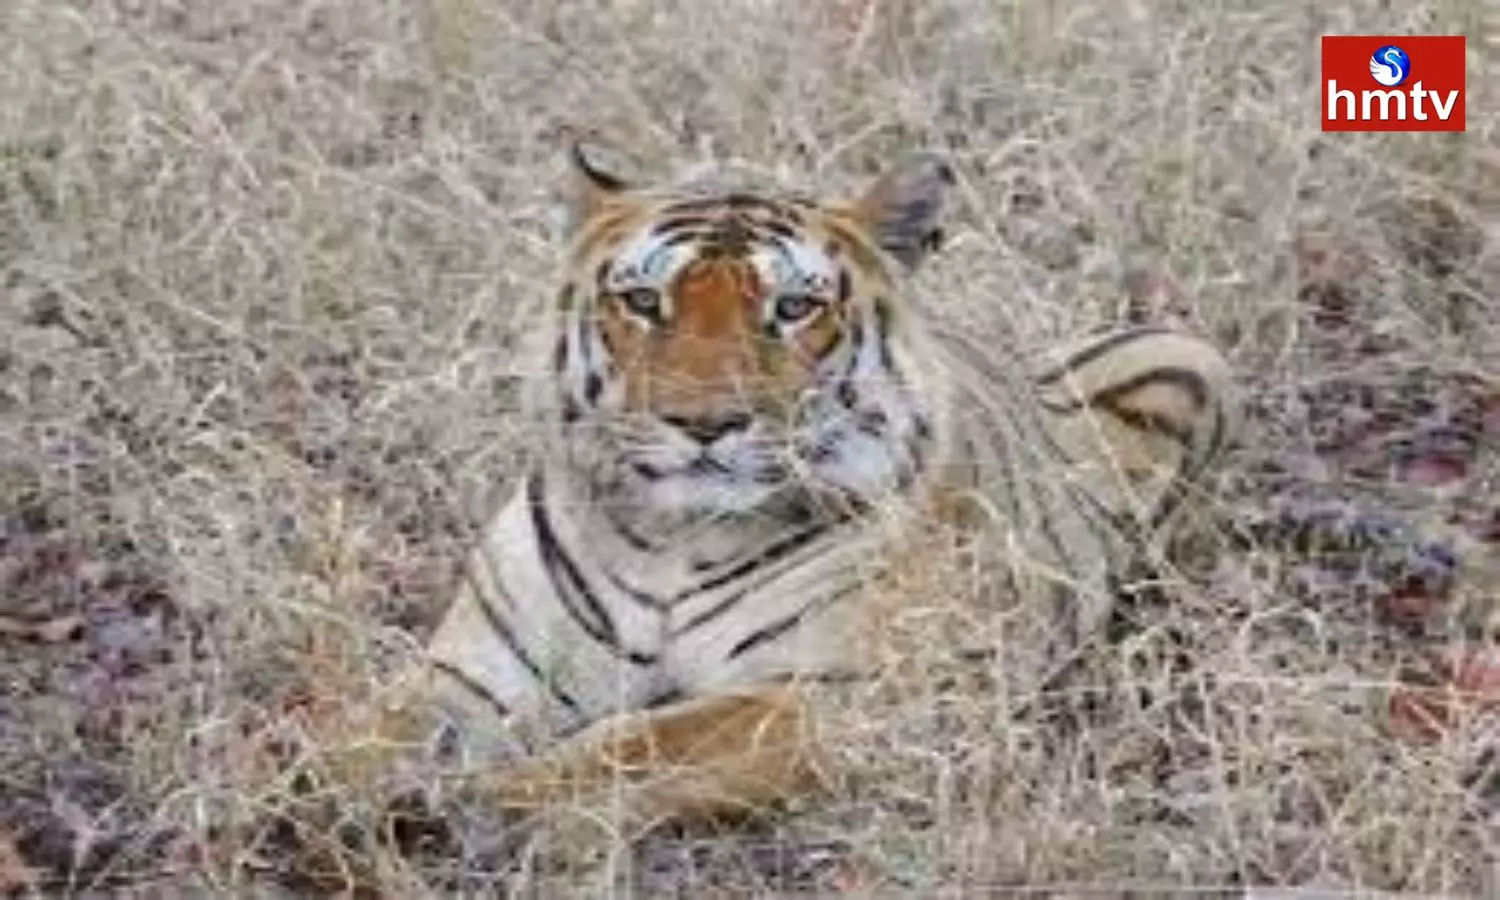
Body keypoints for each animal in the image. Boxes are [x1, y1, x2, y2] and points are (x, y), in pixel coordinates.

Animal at [301, 141, 1230, 858]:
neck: (667, 538)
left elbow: (636, 746)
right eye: (643, 301)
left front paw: (473, 807)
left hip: (1190, 364)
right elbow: (357, 734)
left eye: (793, 308)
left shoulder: (829, 698)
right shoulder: (471, 673)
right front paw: (316, 791)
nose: (704, 422)